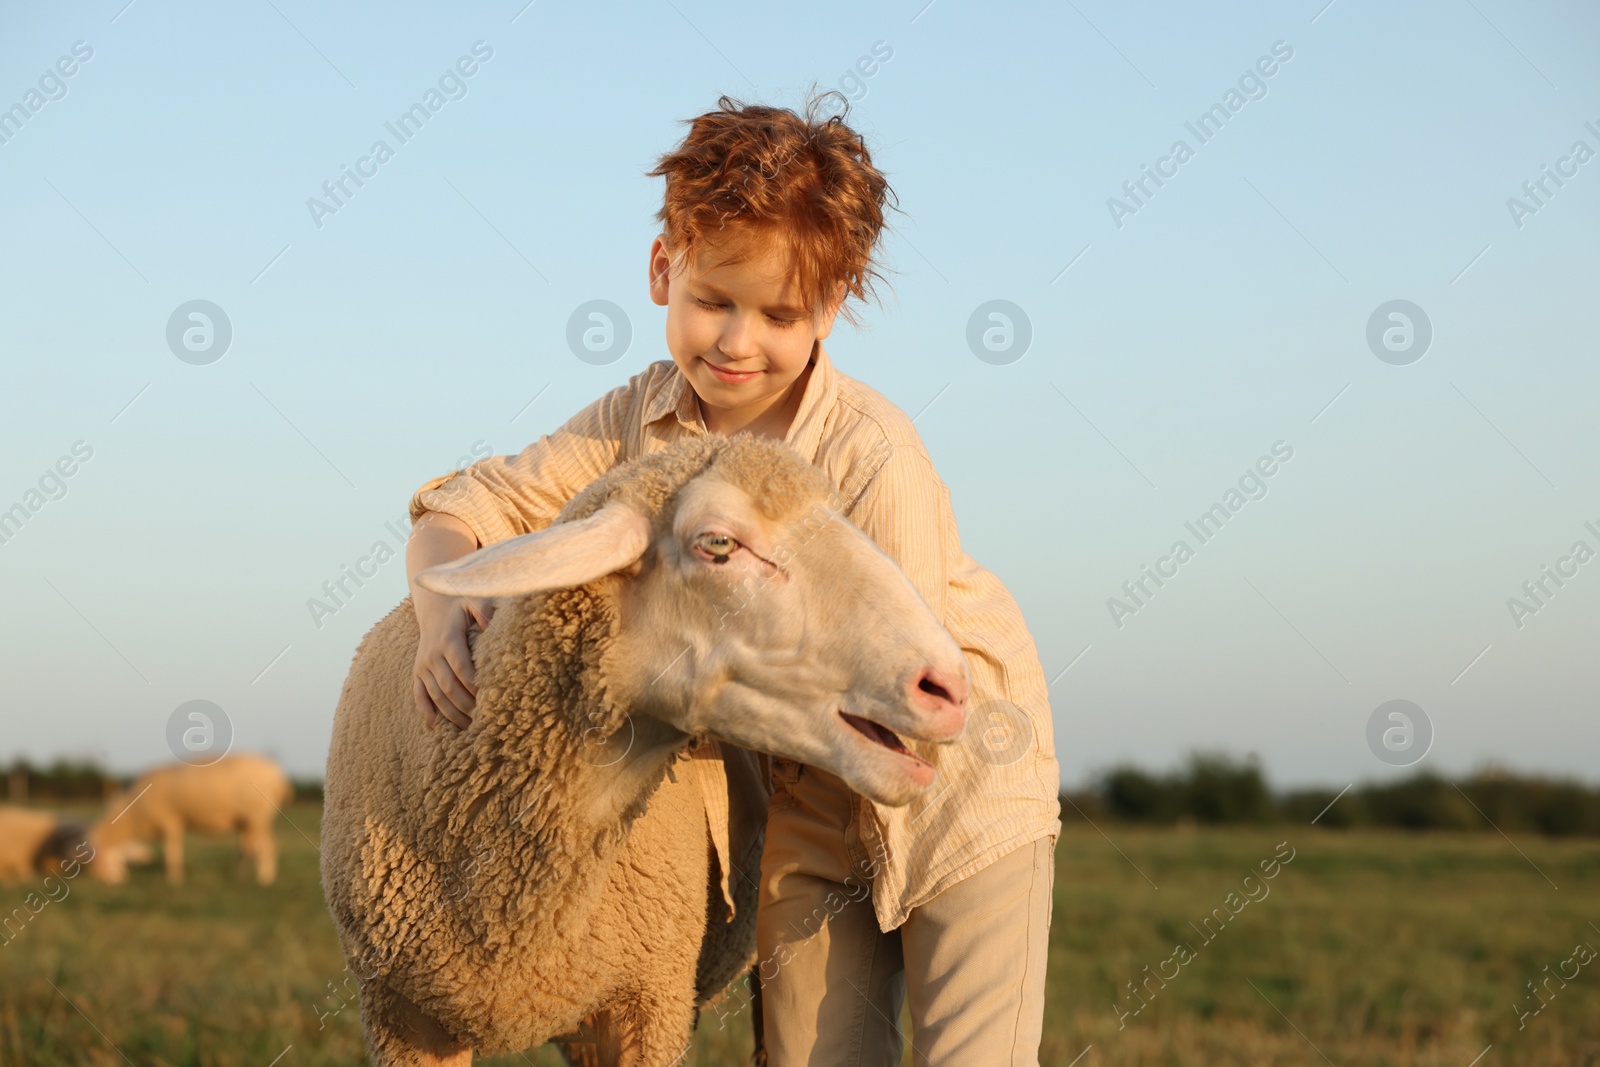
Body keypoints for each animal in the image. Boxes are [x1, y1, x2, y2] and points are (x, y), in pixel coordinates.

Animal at [86, 755, 294, 889]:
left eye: (96, 862)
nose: (117, 883)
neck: (133, 814)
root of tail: (278, 776)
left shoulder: (169, 822)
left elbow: (172, 852)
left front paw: (174, 879)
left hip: (258, 817)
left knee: (268, 846)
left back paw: (265, 879)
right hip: (248, 821)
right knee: (248, 849)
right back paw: (240, 876)